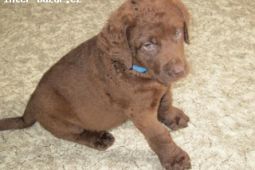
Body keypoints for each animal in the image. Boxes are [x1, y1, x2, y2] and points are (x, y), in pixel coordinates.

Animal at [0, 0, 191, 169]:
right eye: (148, 45)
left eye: (177, 32)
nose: (179, 71)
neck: (139, 70)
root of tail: (30, 104)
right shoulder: (140, 112)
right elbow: (159, 134)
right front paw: (175, 159)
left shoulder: (163, 89)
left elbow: (166, 103)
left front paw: (173, 117)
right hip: (60, 120)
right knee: (74, 135)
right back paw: (98, 138)